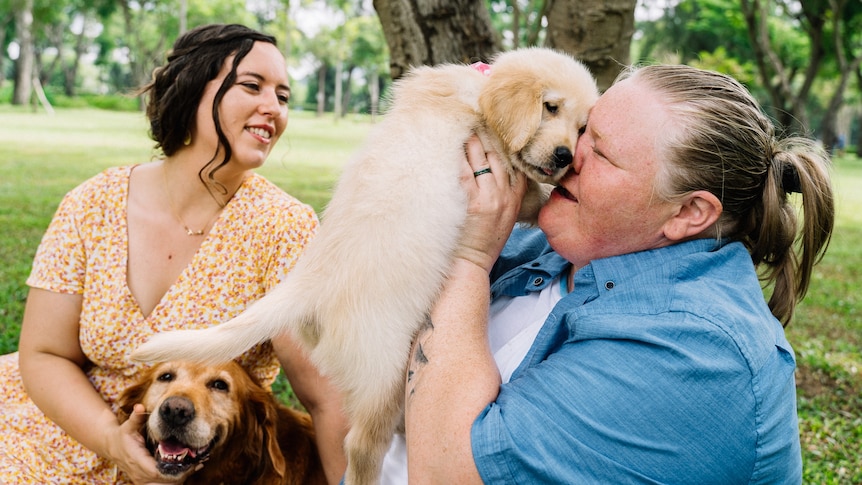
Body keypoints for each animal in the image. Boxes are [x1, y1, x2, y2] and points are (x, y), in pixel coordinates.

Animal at [137, 46, 600, 484]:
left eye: (583, 129)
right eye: (550, 107)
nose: (565, 157)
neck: (479, 97)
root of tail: (309, 282)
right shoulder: (505, 170)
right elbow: (537, 198)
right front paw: (555, 196)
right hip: (386, 370)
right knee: (361, 445)